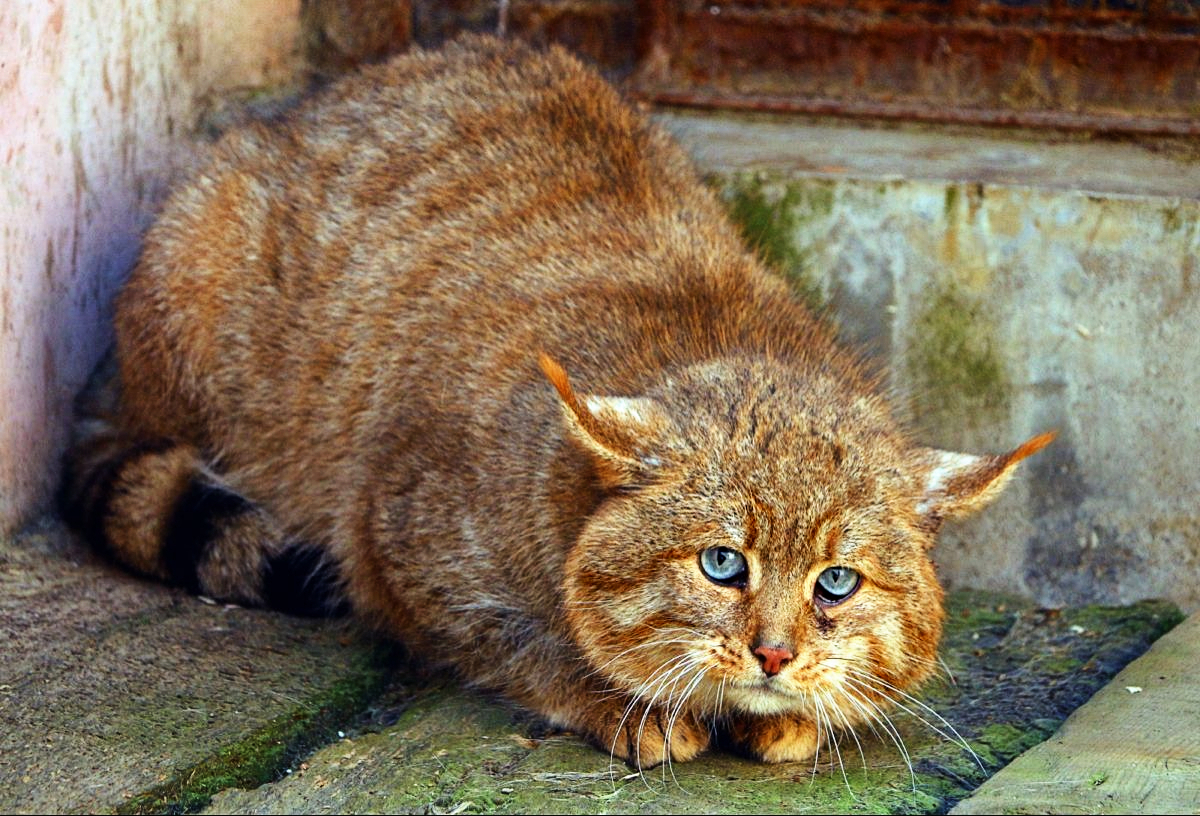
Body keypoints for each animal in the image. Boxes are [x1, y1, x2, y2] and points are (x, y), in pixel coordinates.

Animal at [58, 33, 1051, 772]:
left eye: (836, 582)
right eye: (721, 564)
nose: (774, 655)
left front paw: (796, 710)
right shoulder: (393, 540)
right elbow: (515, 644)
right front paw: (618, 700)